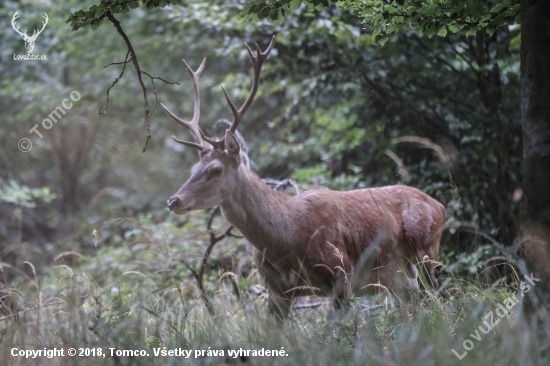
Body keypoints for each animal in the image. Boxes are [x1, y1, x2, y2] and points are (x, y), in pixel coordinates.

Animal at [163, 36, 448, 324]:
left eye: (216, 169)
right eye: (193, 167)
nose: (173, 200)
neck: (285, 238)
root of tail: (440, 205)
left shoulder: (341, 274)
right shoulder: (277, 290)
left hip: (427, 252)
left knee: (440, 300)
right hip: (400, 278)